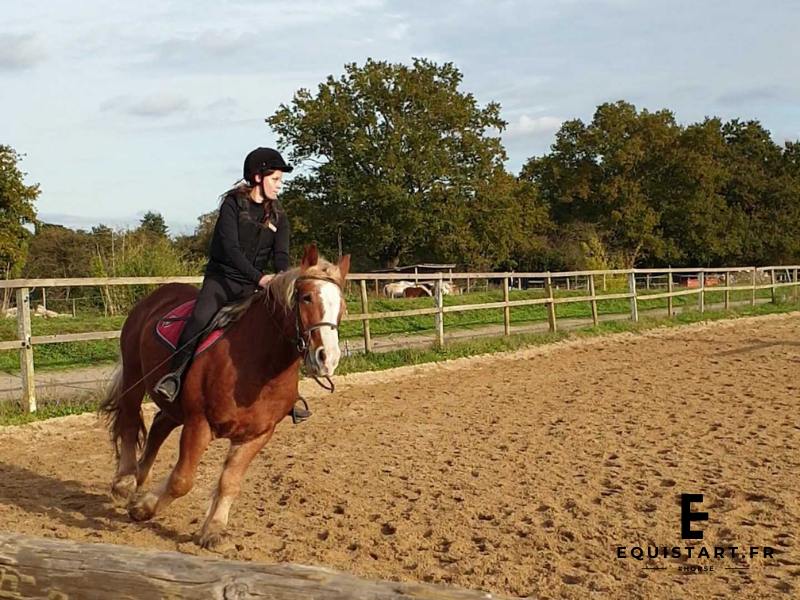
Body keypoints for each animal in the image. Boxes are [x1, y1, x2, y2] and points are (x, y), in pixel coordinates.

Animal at [98, 245, 350, 549]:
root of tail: (156, 296)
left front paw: (214, 528)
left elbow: (230, 481)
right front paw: (144, 508)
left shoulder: (258, 434)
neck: (257, 363)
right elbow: (182, 480)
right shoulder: (199, 423)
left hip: (174, 407)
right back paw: (125, 481)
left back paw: (139, 477)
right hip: (134, 376)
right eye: (306, 297)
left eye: (342, 307)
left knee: (158, 426)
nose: (328, 359)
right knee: (129, 419)